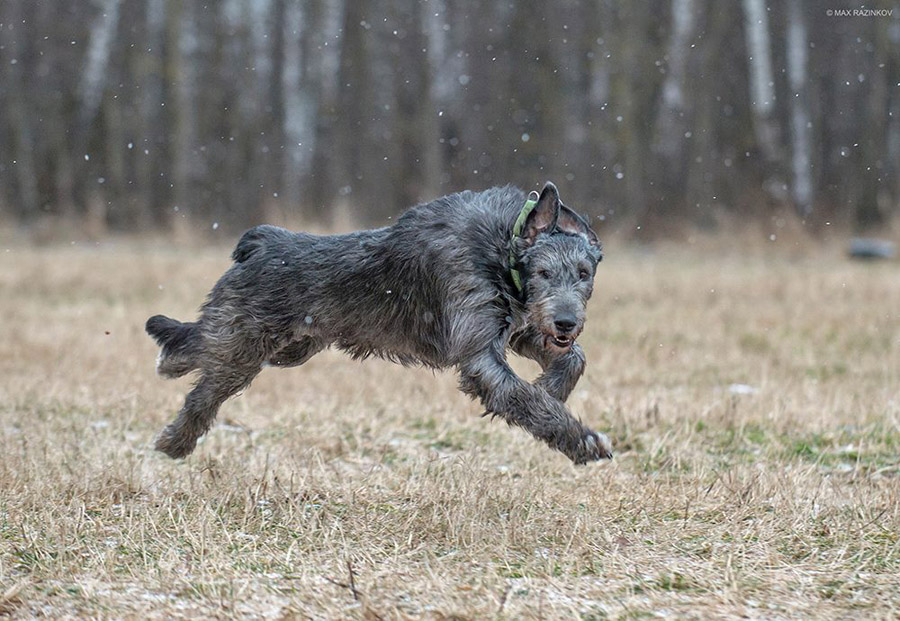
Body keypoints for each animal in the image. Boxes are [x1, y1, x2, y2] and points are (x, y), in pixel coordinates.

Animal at [146, 182, 612, 462]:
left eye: (584, 273)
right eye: (543, 273)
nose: (566, 322)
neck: (504, 246)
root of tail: (260, 243)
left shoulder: (516, 327)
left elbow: (573, 360)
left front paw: (552, 387)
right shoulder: (480, 350)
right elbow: (520, 395)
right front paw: (581, 439)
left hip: (287, 349)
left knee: (201, 350)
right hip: (245, 341)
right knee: (203, 380)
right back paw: (174, 436)